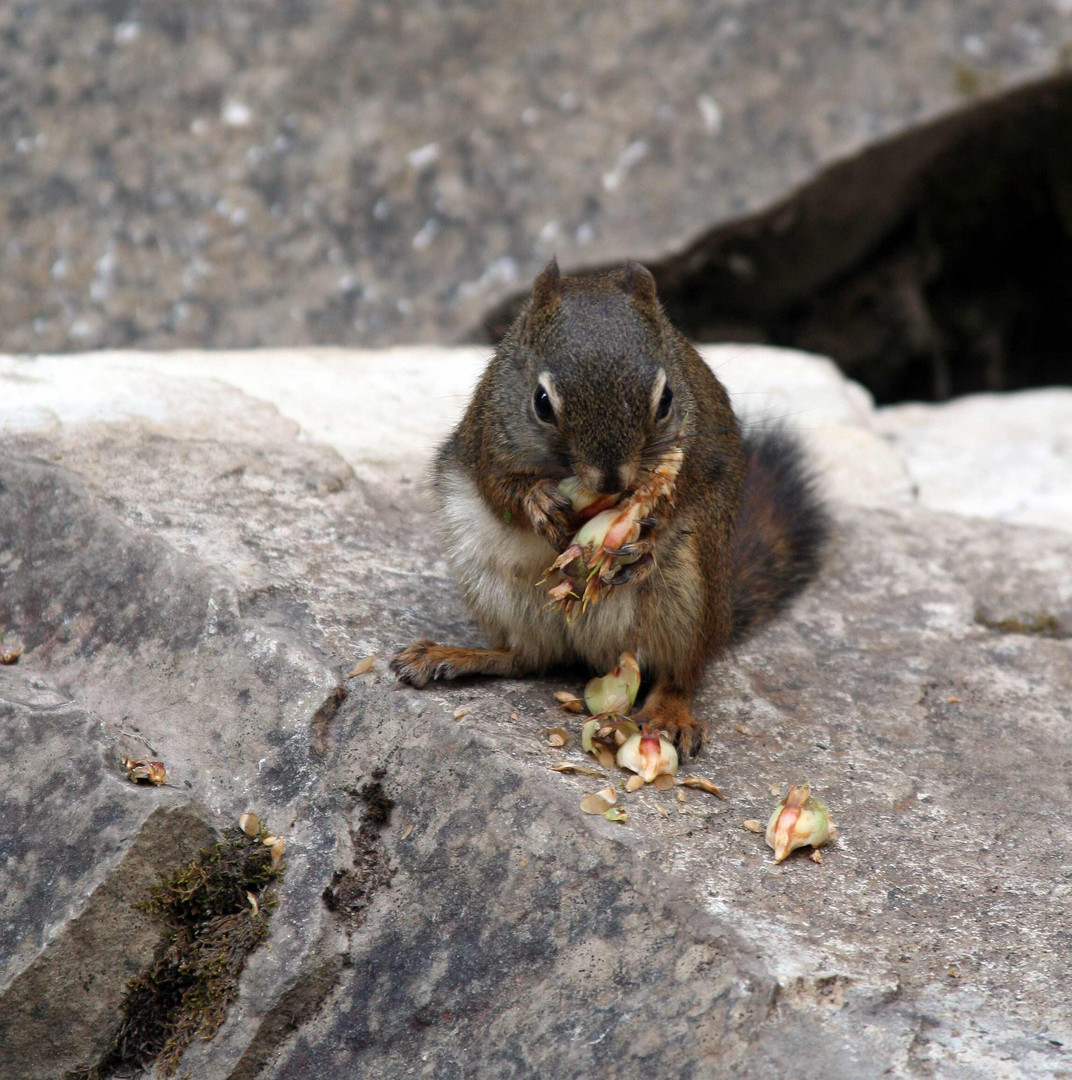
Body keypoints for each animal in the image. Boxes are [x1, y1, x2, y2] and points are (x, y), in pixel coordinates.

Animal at [388, 257, 824, 756]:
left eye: (667, 399)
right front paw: (539, 504)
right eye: (541, 402)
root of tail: (591, 654)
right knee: (523, 657)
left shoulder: (699, 452)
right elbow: (499, 488)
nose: (613, 480)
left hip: (689, 596)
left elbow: (682, 491)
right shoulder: (486, 436)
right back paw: (455, 654)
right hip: (489, 579)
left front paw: (647, 531)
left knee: (680, 673)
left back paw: (666, 714)